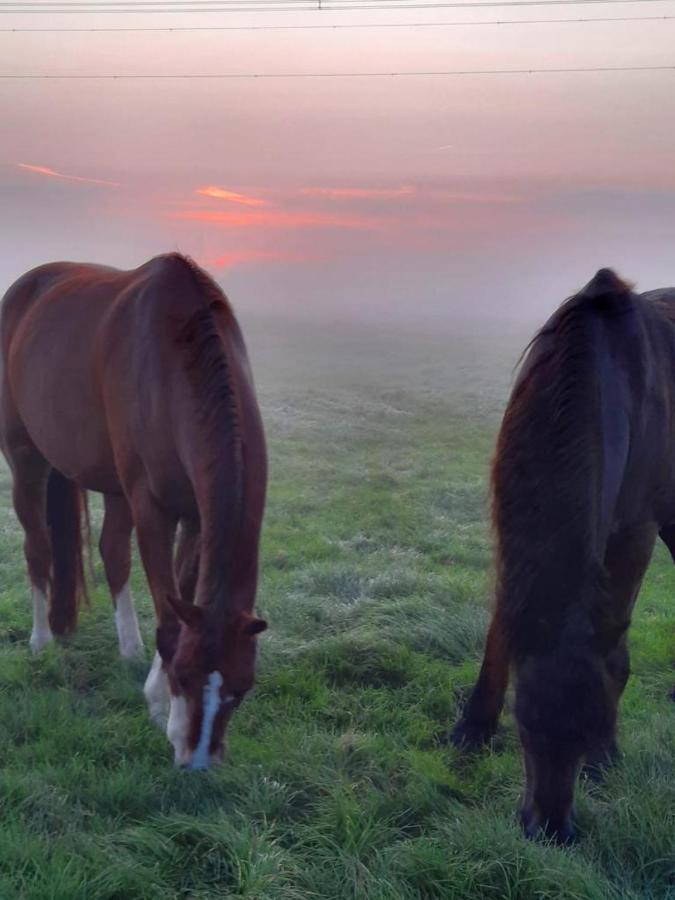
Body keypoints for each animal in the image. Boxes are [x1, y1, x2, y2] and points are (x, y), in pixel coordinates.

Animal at [0, 251, 270, 768]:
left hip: (106, 480)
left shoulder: (196, 517)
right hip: (26, 458)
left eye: (243, 689)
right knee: (38, 549)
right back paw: (41, 640)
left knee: (111, 553)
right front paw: (160, 706)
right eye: (185, 677)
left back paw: (126, 645)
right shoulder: (153, 507)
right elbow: (169, 611)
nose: (197, 762)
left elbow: (181, 594)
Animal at [452, 268, 675, 844]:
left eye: (597, 725)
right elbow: (502, 629)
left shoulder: (636, 530)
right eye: (524, 722)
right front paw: (472, 727)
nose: (550, 830)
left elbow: (615, 646)